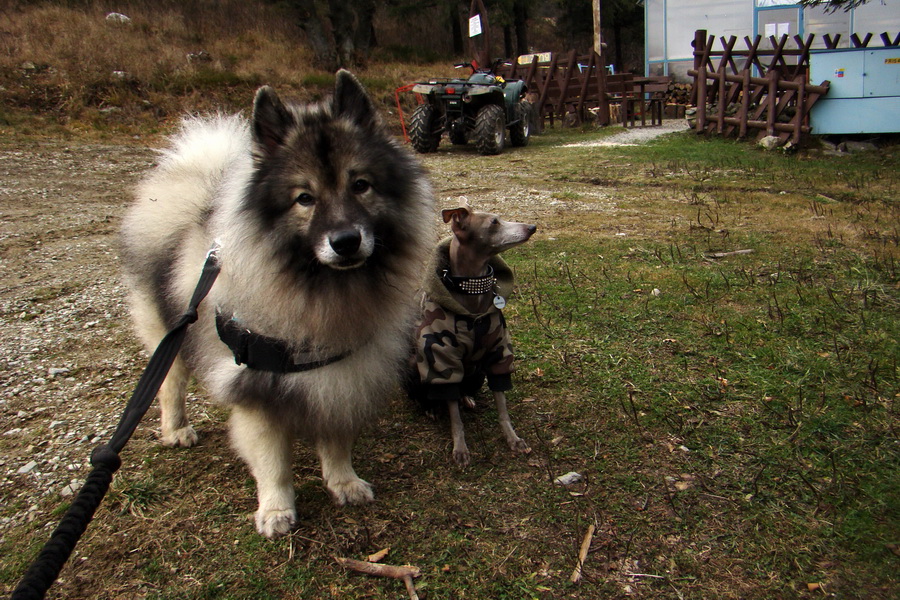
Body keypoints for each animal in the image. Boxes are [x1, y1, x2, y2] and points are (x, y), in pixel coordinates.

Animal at [119, 71, 436, 540]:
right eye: (304, 198)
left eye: (360, 185)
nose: (346, 241)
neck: (320, 288)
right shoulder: (254, 389)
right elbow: (273, 462)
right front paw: (275, 509)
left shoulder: (341, 376)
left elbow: (336, 440)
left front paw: (343, 481)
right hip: (168, 338)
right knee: (169, 385)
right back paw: (176, 430)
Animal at [414, 206, 536, 464]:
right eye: (494, 222)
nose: (532, 227)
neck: (473, 289)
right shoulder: (443, 359)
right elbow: (454, 415)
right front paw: (460, 448)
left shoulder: (499, 352)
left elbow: (502, 405)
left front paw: (512, 437)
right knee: (425, 394)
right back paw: (431, 408)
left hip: (477, 373)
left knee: (463, 391)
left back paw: (466, 398)